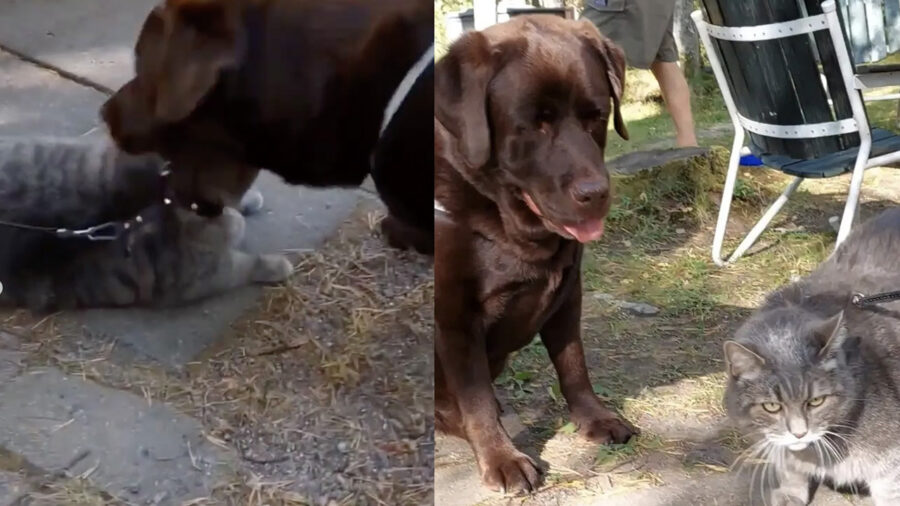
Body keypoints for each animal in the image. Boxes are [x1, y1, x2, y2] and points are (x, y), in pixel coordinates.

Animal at [720, 208, 900, 504]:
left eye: (816, 401)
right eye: (772, 406)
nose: (799, 432)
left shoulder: (891, 463)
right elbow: (790, 465)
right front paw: (790, 492)